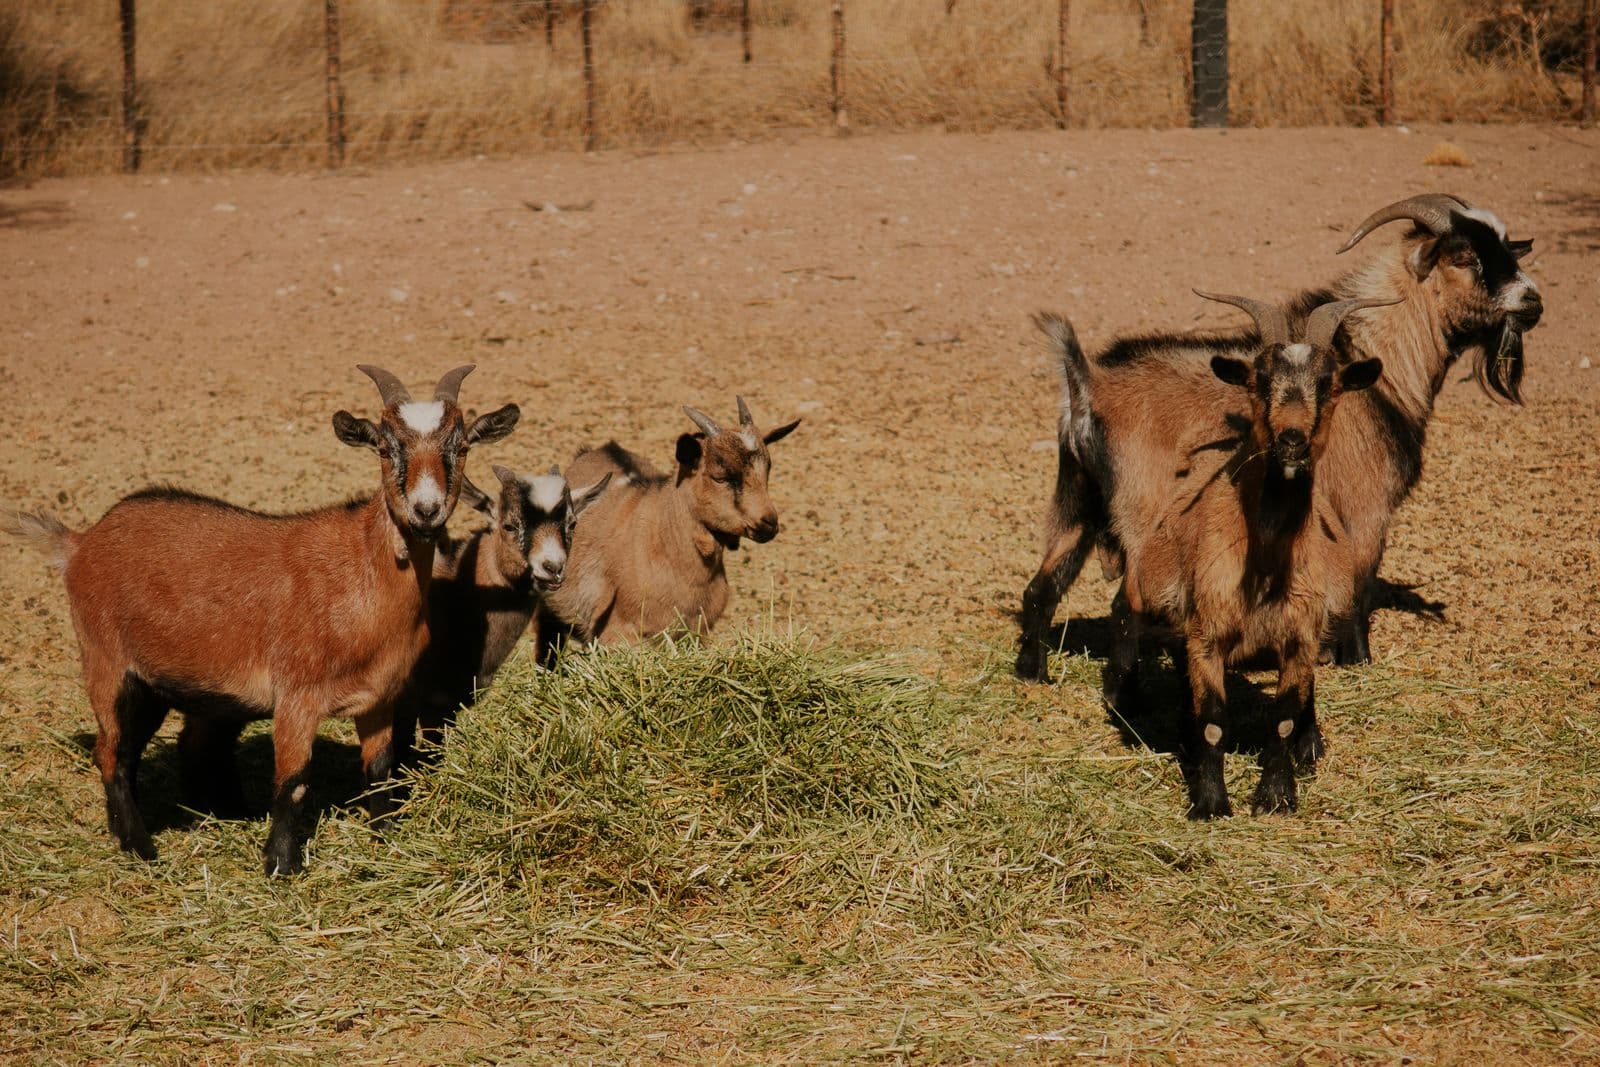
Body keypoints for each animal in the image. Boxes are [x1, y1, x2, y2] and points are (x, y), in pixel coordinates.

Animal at [1, 366, 519, 875]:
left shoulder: (379, 697)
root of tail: (79, 543)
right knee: (113, 752)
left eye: (461, 447)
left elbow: (379, 771)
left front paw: (388, 842)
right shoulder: (297, 696)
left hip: (172, 684)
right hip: (108, 662)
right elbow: (293, 781)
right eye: (385, 446)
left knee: (169, 747)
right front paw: (281, 866)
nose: (425, 510)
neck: (363, 575)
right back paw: (140, 847)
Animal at [1016, 194, 1543, 681]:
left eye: (1506, 248)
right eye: (1463, 256)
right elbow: (1359, 588)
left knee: (1042, 587)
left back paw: (1033, 674)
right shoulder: (1367, 506)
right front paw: (1356, 660)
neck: (1379, 363)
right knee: (1125, 606)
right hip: (1141, 515)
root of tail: (1088, 384)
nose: (1533, 301)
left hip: (1075, 503)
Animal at [1041, 293, 1389, 817]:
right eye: (1258, 379)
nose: (1291, 440)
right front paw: (1210, 804)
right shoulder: (1206, 634)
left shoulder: (1300, 637)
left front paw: (1277, 795)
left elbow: (1284, 717)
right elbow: (1212, 722)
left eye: (1329, 384)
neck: (1264, 564)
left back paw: (1311, 747)